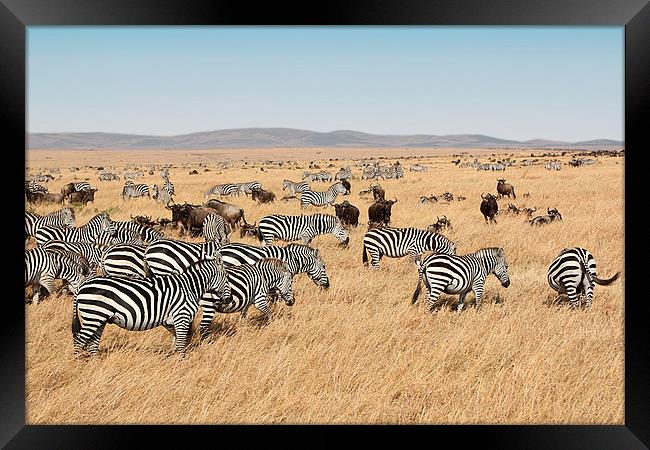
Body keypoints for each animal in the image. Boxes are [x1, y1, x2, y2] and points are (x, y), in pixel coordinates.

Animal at [73, 255, 230, 356]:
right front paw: (182, 364)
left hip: (99, 318)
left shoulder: (170, 321)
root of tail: (82, 286)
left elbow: (180, 341)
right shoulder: (181, 316)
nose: (228, 300)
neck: (189, 287)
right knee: (79, 340)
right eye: (227, 278)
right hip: (94, 316)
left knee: (92, 343)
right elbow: (181, 343)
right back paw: (78, 366)